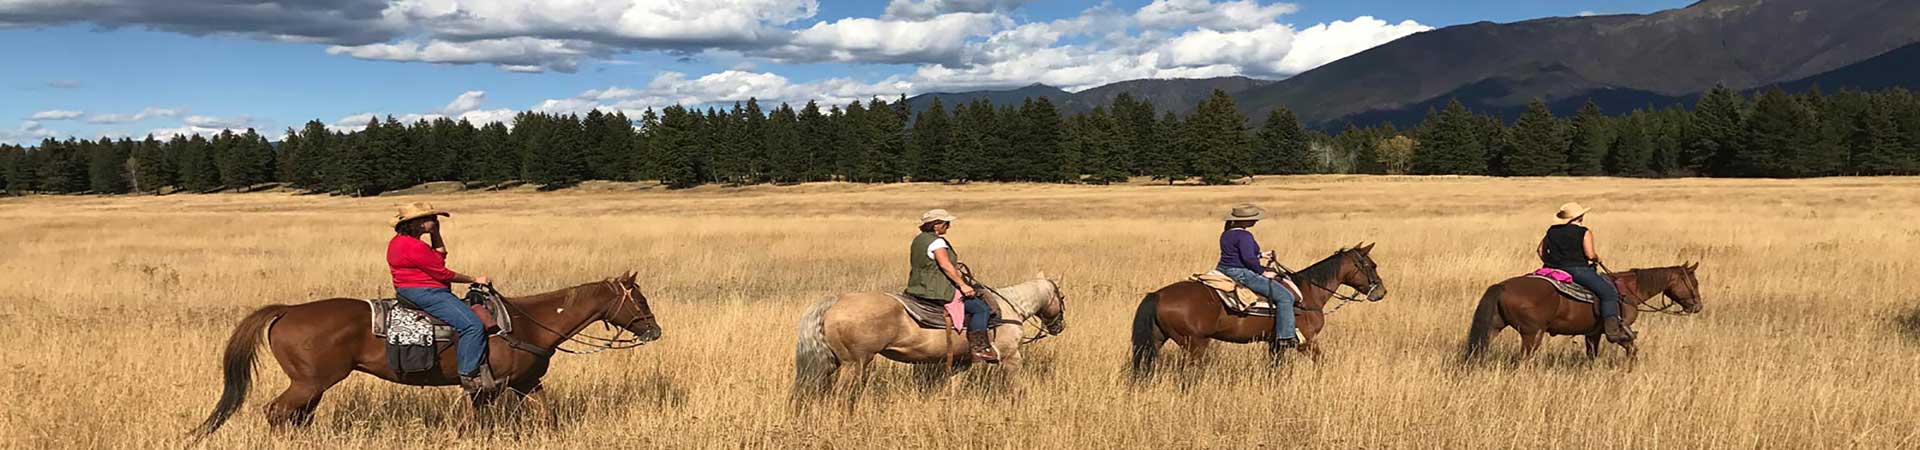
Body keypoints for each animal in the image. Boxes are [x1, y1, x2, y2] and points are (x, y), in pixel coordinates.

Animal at [189, 273, 660, 438]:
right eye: (638, 299)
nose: (654, 330)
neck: (527, 323)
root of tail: (287, 310)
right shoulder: (489, 387)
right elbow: (477, 423)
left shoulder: (526, 384)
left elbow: (548, 415)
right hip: (309, 382)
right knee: (277, 412)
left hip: (313, 385)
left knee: (296, 416)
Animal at [1121, 242, 1382, 378]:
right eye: (1370, 265)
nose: (1381, 292)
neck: (1307, 293)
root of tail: (1157, 295)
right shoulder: (1306, 342)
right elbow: (1321, 362)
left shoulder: (1275, 344)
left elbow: (1274, 370)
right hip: (1195, 343)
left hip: (1156, 340)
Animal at [1459, 263, 1704, 361]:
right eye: (1694, 282)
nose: (1697, 306)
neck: (1628, 290)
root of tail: (1502, 286)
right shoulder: (1619, 332)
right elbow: (1632, 350)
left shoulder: (1592, 333)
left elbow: (1592, 355)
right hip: (1532, 334)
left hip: (1494, 328)